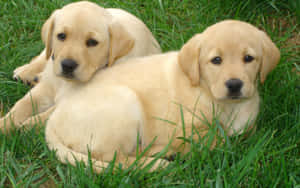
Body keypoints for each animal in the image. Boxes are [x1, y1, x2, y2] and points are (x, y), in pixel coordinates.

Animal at [0, 1, 162, 134]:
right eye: (61, 36)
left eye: (92, 42)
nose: (67, 65)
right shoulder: (45, 88)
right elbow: (23, 105)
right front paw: (4, 124)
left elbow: (48, 114)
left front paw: (27, 126)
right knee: (44, 56)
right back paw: (26, 72)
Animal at [45, 19, 280, 171]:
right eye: (216, 60)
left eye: (248, 58)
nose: (234, 84)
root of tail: (53, 120)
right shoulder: (187, 128)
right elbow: (217, 138)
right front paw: (188, 147)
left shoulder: (249, 124)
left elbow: (244, 132)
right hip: (125, 103)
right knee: (113, 159)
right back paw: (159, 158)